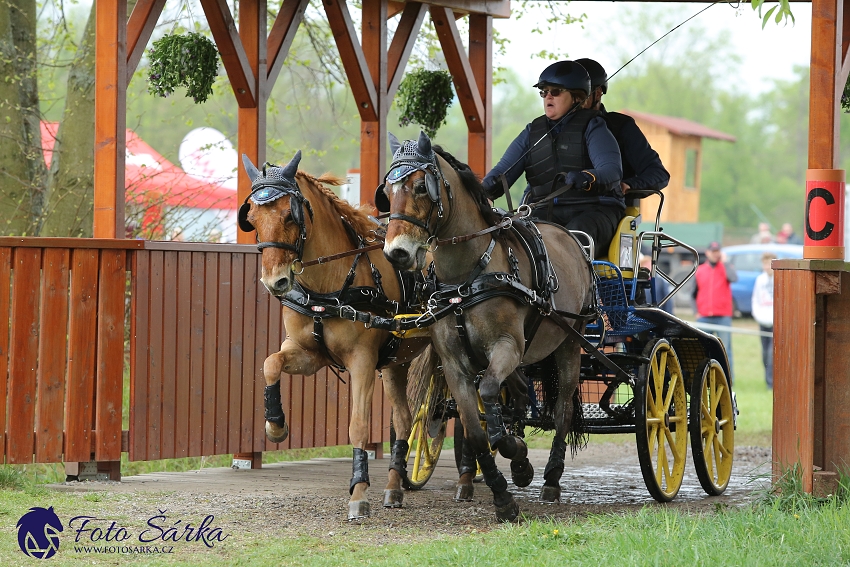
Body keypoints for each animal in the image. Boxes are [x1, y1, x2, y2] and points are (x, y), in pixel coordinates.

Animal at [238, 153, 428, 520]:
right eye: (251, 217)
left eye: (290, 215)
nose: (275, 282)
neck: (332, 285)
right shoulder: (309, 354)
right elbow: (270, 364)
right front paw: (276, 424)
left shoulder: (363, 362)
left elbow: (358, 425)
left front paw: (359, 492)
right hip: (395, 362)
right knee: (402, 418)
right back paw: (395, 487)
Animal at [380, 133, 592, 524]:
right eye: (387, 192)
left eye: (421, 187)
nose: (396, 253)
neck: (468, 276)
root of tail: (568, 237)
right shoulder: (454, 365)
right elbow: (476, 431)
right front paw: (504, 494)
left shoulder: (507, 345)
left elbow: (491, 392)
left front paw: (513, 450)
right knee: (520, 394)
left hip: (570, 343)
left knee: (562, 411)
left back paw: (552, 479)